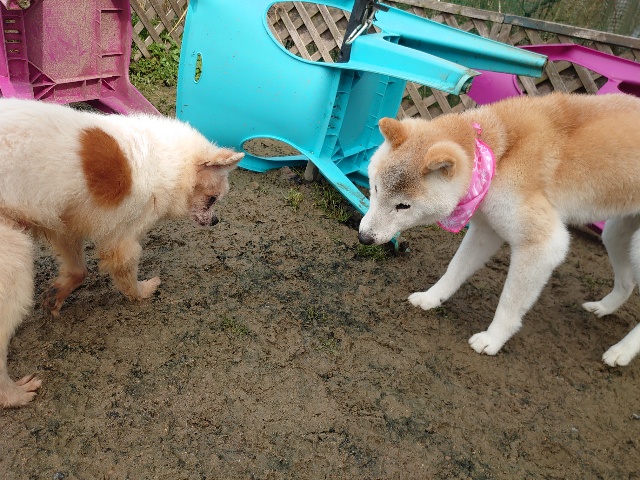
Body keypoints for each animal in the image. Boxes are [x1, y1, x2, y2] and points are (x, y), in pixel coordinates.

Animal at [0, 98, 243, 407]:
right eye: (212, 199)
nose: (216, 222)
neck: (167, 163)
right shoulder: (123, 240)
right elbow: (127, 275)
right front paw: (142, 291)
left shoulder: (67, 221)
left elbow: (78, 270)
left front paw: (56, 295)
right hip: (13, 260)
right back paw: (14, 395)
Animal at [359, 92, 640, 367]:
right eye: (376, 189)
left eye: (403, 206)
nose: (363, 238)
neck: (499, 152)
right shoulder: (486, 230)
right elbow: (455, 269)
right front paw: (432, 298)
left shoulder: (543, 246)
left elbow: (510, 303)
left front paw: (492, 339)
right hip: (614, 233)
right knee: (627, 283)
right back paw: (604, 307)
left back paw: (622, 351)